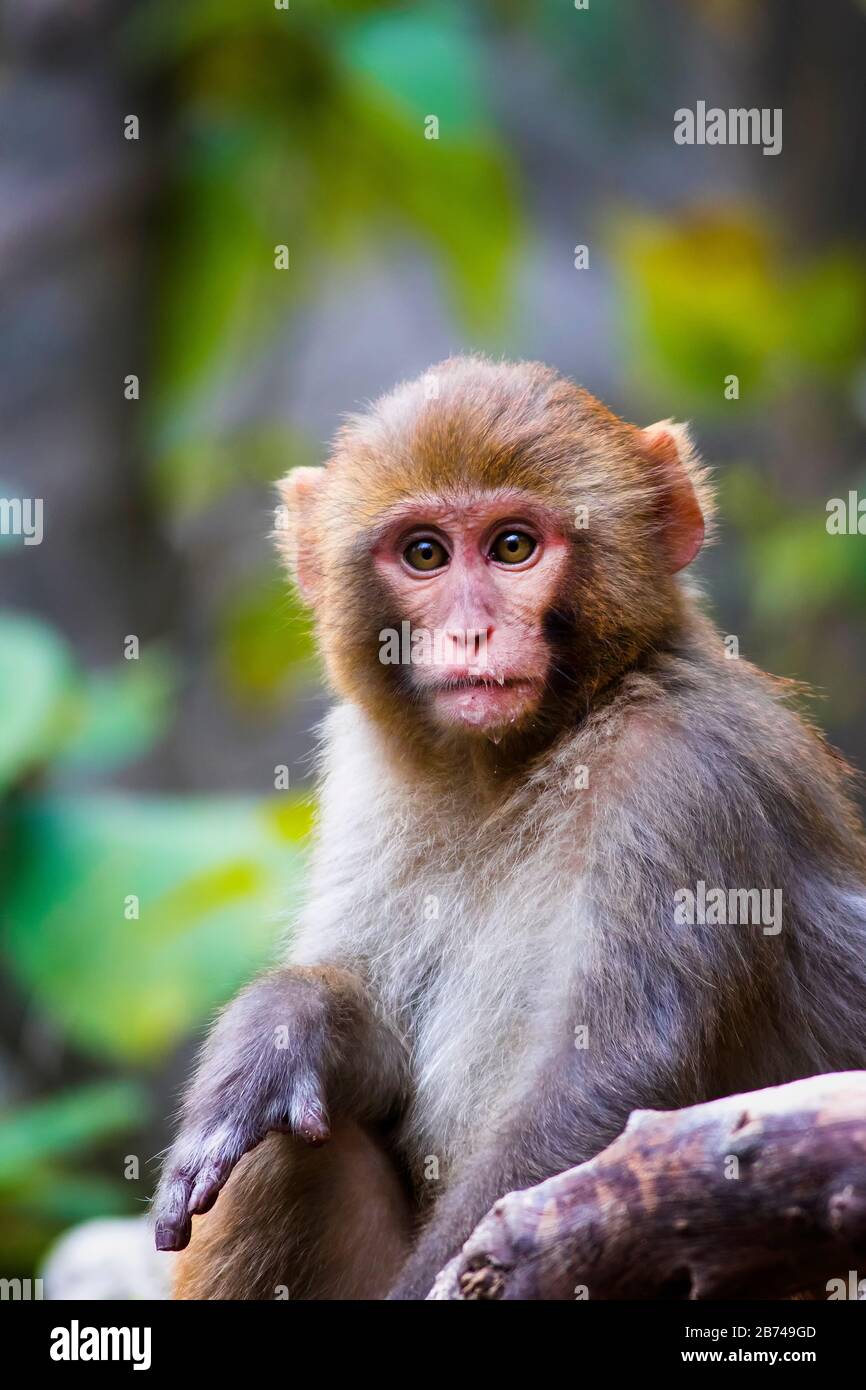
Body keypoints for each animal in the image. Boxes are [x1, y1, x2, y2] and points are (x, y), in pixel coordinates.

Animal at [153, 354, 866, 1300]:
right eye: (424, 553)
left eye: (514, 547)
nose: (472, 632)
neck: (514, 763)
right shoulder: (367, 770)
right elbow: (361, 1061)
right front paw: (284, 1028)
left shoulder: (685, 776)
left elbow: (599, 1093)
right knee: (286, 1146)